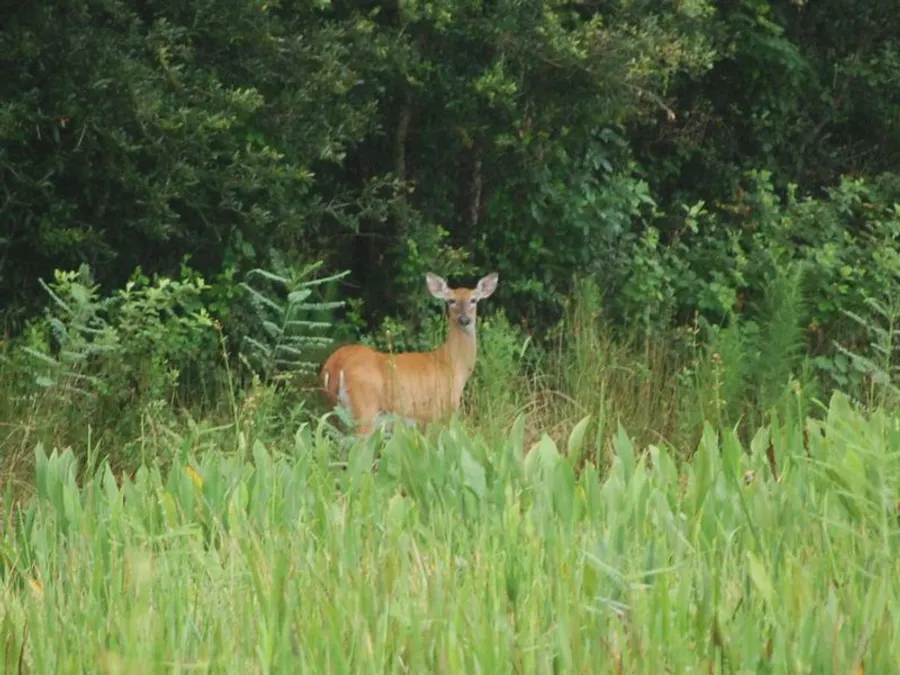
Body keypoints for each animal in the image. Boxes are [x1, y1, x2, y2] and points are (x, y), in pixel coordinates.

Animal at [320, 271, 499, 435]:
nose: (464, 319)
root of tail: (336, 364)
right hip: (364, 408)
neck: (452, 364)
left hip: (336, 412)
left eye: (473, 300)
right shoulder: (437, 413)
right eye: (451, 300)